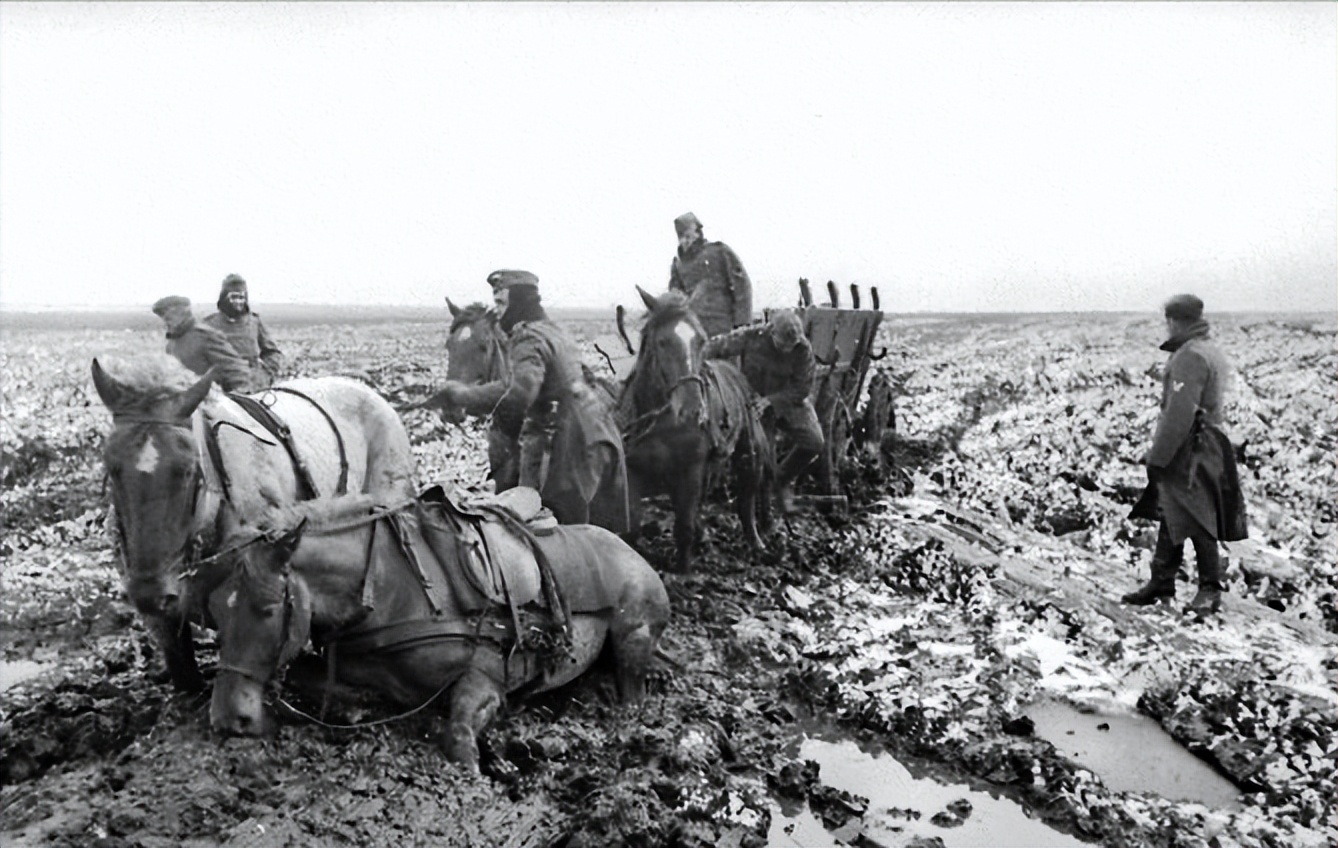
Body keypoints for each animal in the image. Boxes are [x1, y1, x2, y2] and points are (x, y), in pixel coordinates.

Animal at [206, 491, 669, 771]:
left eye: (267, 610)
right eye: (214, 617)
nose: (229, 720)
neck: (391, 588)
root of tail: (630, 548)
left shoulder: (486, 679)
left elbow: (459, 736)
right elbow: (312, 677)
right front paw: (356, 706)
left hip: (633, 633)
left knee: (633, 689)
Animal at [620, 288, 771, 572]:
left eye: (701, 340)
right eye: (662, 342)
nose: (692, 409)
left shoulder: (690, 469)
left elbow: (684, 526)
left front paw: (684, 571)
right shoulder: (633, 472)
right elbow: (632, 527)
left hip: (749, 453)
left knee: (747, 496)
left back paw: (756, 542)